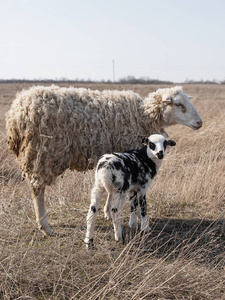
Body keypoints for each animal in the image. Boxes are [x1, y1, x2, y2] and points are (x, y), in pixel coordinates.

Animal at [5, 85, 202, 237]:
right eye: (179, 104)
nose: (199, 122)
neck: (142, 115)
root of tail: (16, 112)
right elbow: (134, 199)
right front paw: (137, 221)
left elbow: (111, 191)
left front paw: (108, 212)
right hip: (42, 154)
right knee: (37, 190)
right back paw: (45, 227)